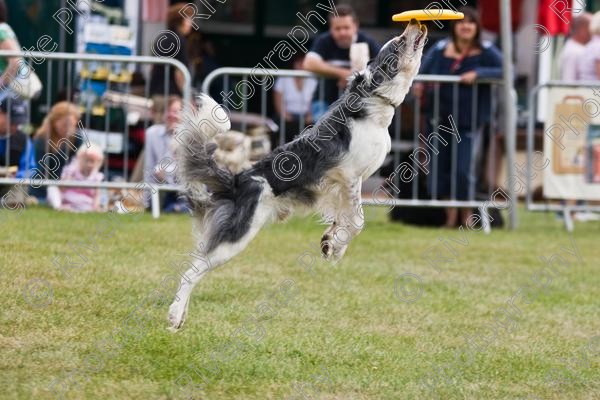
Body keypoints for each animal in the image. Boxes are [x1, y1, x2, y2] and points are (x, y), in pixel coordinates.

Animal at [168, 19, 426, 332]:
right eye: (399, 42)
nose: (414, 22)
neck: (375, 103)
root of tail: (238, 180)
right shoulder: (350, 177)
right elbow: (358, 221)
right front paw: (335, 244)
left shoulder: (341, 186)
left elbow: (344, 220)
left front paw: (331, 244)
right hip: (236, 237)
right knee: (191, 270)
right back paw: (174, 315)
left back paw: (181, 317)